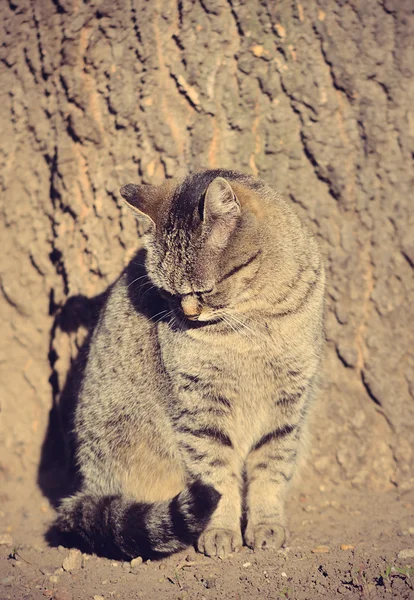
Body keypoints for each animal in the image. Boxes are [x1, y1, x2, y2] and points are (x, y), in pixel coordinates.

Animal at [51, 168, 326, 556]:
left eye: (203, 290)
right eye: (168, 292)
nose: (187, 313)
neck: (253, 322)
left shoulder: (289, 401)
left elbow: (270, 467)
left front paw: (266, 523)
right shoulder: (199, 405)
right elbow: (216, 475)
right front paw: (220, 530)